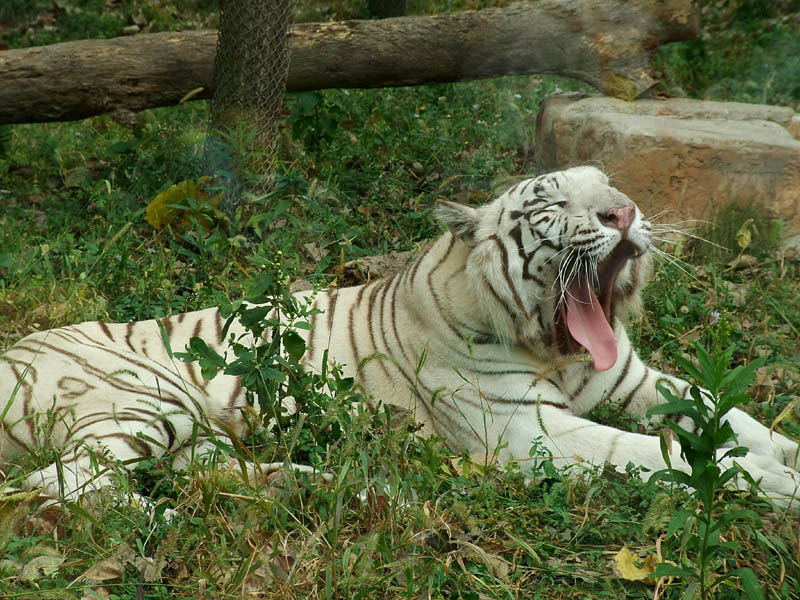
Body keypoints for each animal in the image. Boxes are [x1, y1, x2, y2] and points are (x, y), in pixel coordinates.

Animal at [1, 168, 800, 506]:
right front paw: (772, 484)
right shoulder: (530, 431)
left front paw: (783, 458)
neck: (553, 346)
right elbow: (652, 453)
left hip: (191, 427)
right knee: (64, 483)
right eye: (550, 203)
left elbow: (736, 419)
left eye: (608, 185)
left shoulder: (636, 381)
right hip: (145, 399)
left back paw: (342, 488)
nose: (624, 212)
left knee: (202, 468)